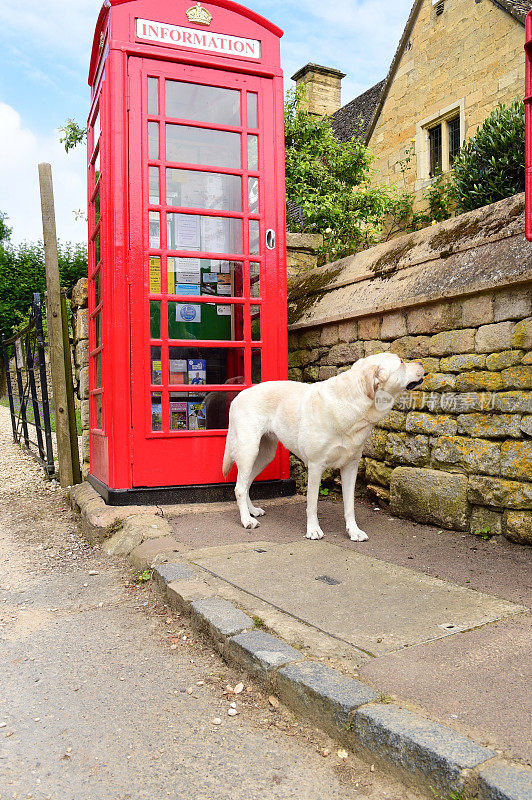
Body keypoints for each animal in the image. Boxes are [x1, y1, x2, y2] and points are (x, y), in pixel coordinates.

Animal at [222, 354, 426, 540]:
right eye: (401, 362)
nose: (421, 363)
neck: (353, 404)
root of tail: (239, 395)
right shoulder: (315, 465)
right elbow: (312, 503)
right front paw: (313, 529)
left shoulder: (351, 466)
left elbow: (350, 505)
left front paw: (354, 531)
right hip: (249, 450)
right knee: (239, 487)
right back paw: (246, 520)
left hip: (265, 455)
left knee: (245, 484)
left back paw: (252, 511)